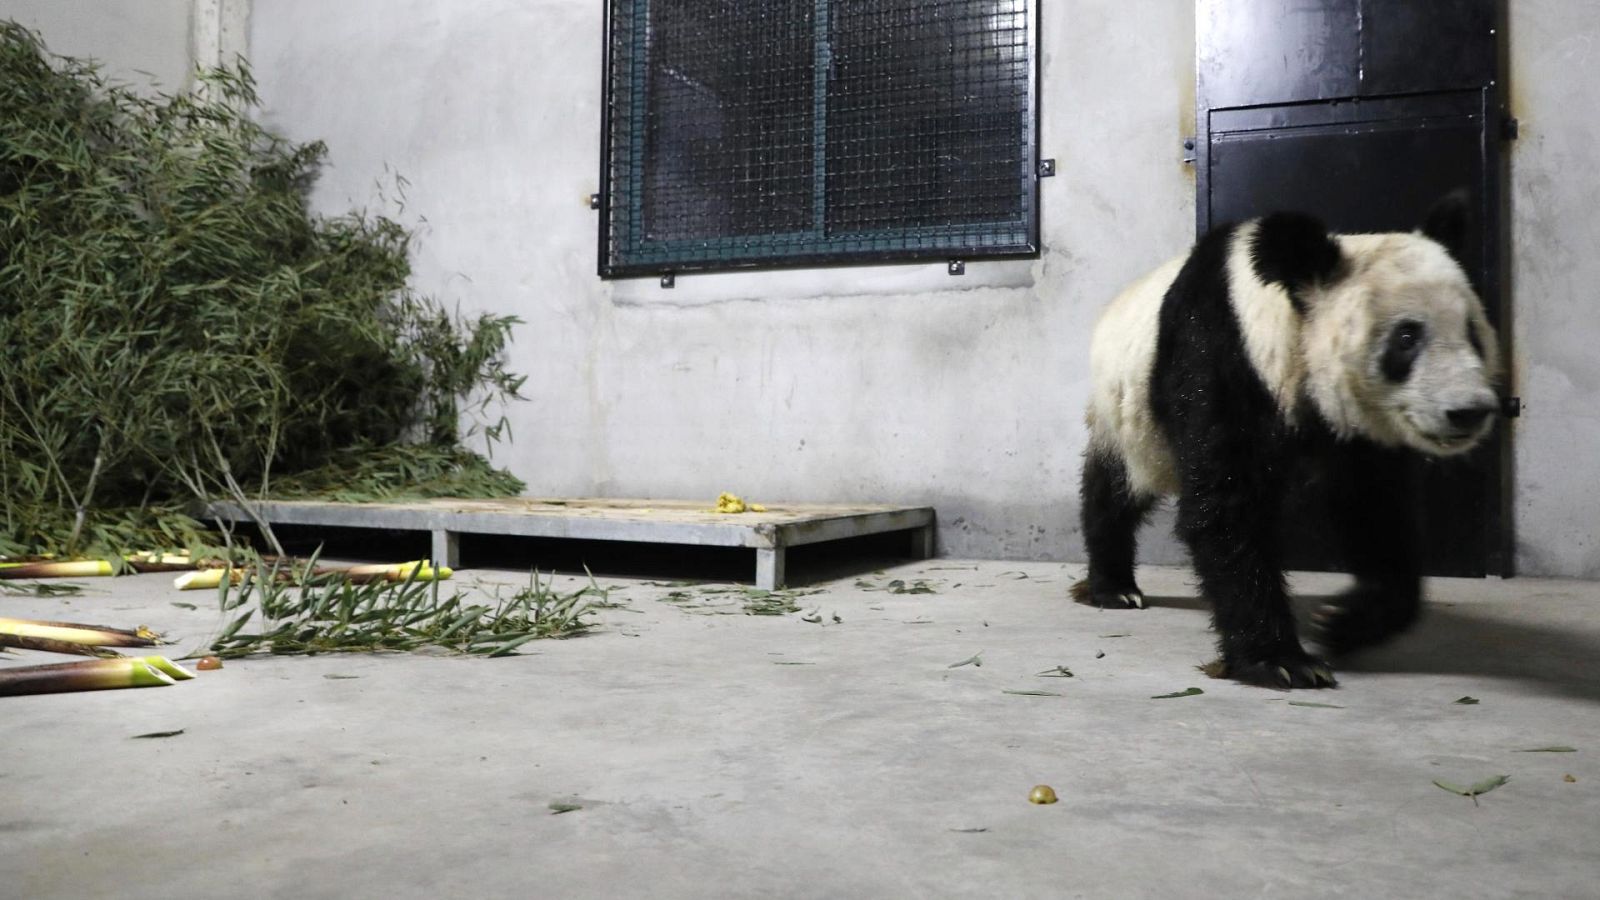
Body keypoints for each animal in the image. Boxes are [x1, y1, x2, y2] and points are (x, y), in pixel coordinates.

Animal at [1073, 194, 1502, 689]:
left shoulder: (1356, 430)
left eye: (1472, 331)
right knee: (1114, 490)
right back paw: (1114, 587)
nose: (1469, 411)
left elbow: (1373, 509)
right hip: (1128, 418)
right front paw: (1280, 660)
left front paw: (1342, 623)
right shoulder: (1218, 357)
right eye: (1407, 337)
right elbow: (1226, 507)